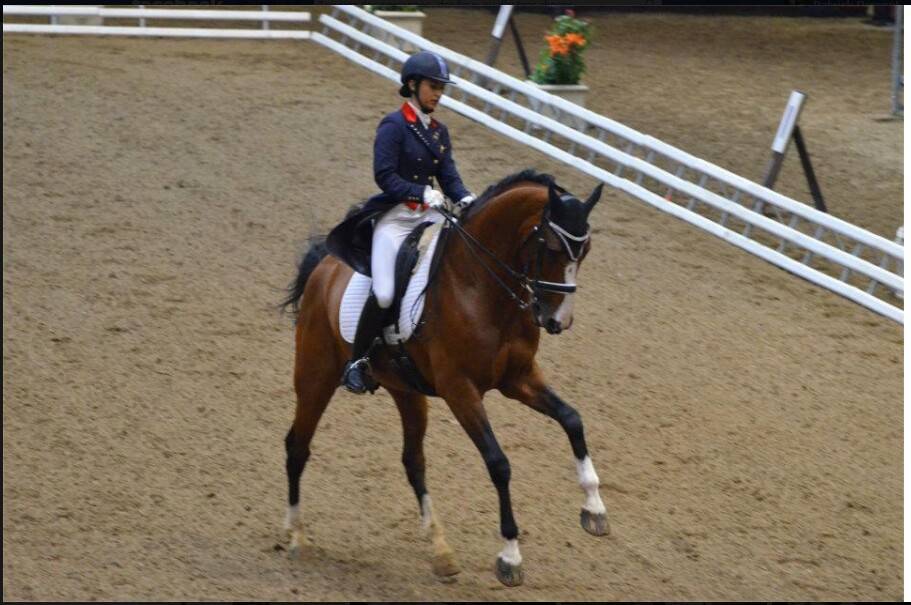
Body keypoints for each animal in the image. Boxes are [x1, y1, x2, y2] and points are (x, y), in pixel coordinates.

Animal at [279, 169, 607, 587]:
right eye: (550, 247)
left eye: (586, 250)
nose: (557, 321)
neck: (478, 287)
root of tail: (325, 265)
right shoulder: (459, 390)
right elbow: (499, 464)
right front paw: (510, 556)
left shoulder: (518, 378)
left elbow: (572, 419)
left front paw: (594, 508)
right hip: (315, 374)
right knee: (297, 446)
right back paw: (295, 536)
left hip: (406, 391)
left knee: (412, 461)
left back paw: (441, 551)